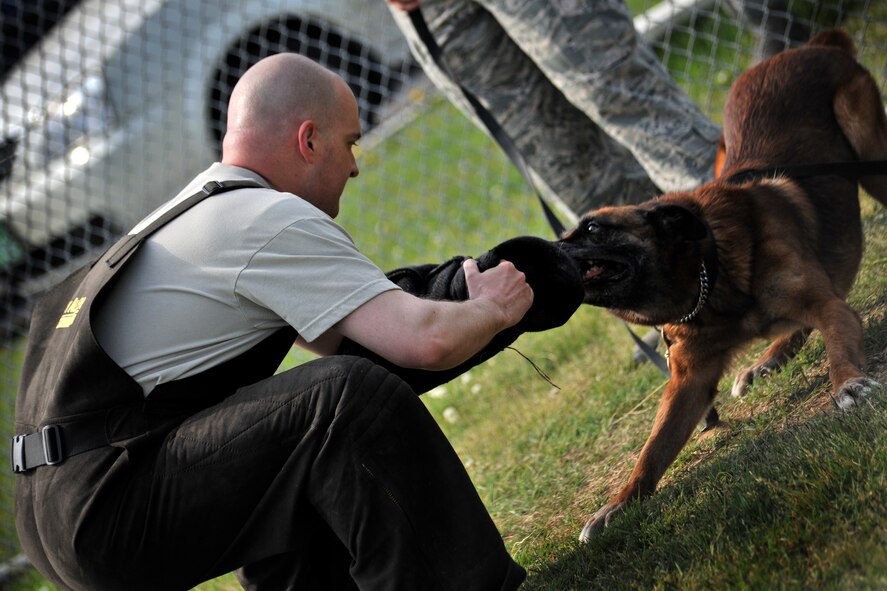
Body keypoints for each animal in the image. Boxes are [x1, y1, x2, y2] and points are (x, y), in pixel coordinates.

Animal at [560, 30, 887, 544]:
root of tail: (811, 46)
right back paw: (768, 359)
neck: (709, 276)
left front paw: (849, 382)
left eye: (592, 230)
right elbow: (652, 450)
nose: (540, 251)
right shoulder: (688, 381)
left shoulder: (827, 306)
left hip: (871, 154)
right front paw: (617, 506)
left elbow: (838, 342)